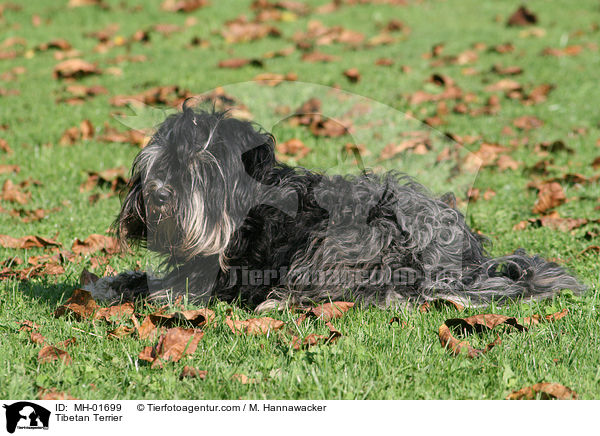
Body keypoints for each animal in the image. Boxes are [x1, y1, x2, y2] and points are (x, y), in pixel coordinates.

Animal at [86, 105, 584, 310]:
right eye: (159, 162)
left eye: (199, 165)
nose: (159, 195)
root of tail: (464, 264)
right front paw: (106, 283)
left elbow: (164, 288)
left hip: (358, 234)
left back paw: (283, 302)